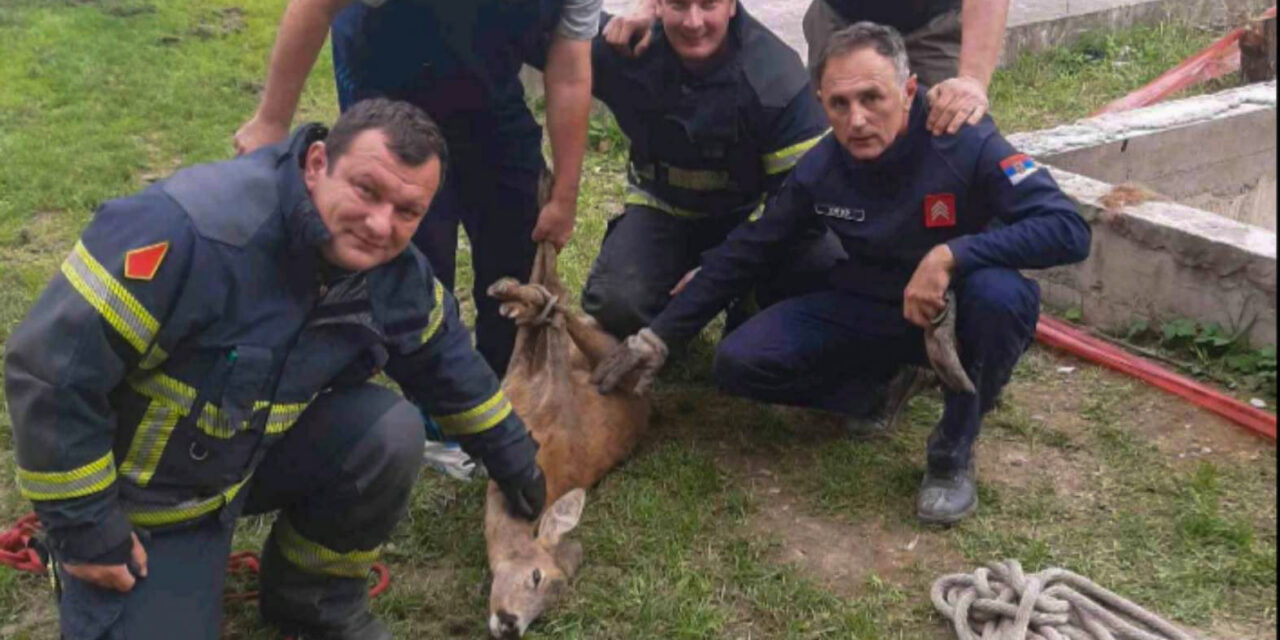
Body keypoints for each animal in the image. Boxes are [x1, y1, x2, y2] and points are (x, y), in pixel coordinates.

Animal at [481, 241, 650, 637]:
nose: (511, 624)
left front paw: (524, 297)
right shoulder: (527, 386)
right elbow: (544, 327)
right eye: (536, 576)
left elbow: (543, 329)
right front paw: (520, 295)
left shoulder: (539, 391)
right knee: (565, 309)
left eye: (546, 610)